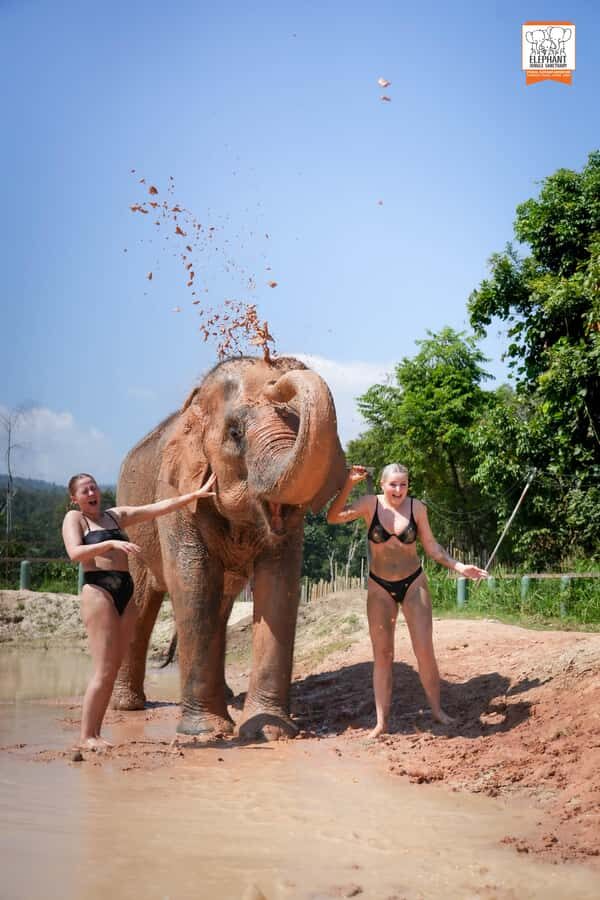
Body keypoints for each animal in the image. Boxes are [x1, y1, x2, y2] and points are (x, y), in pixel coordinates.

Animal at [112, 355, 347, 741]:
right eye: (235, 433)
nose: (279, 371)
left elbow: (279, 583)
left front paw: (269, 731)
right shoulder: (176, 492)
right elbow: (193, 579)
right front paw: (207, 733)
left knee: (220, 606)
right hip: (133, 526)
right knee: (142, 602)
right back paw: (126, 707)